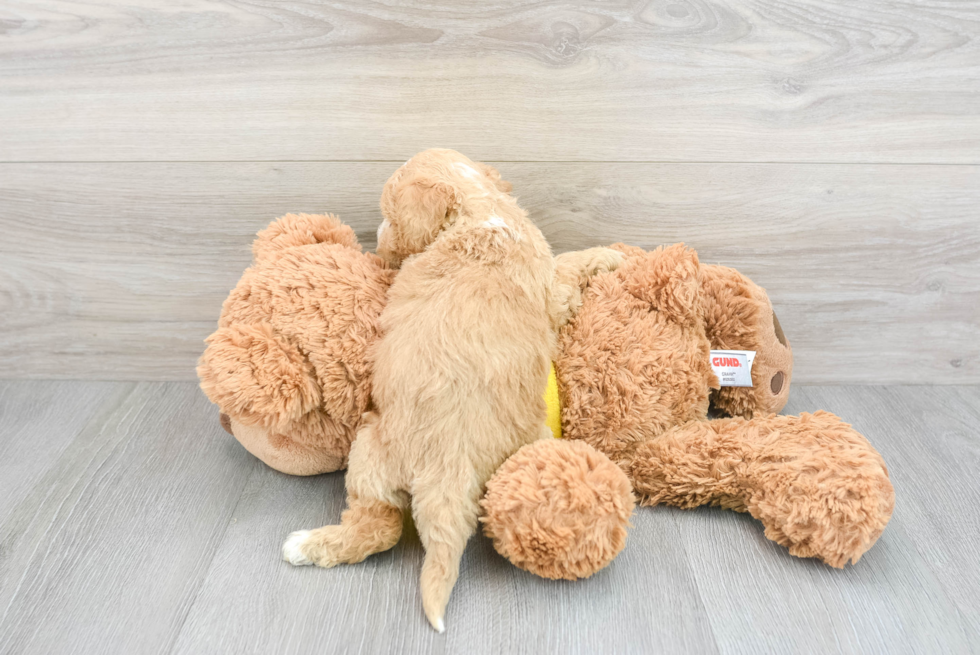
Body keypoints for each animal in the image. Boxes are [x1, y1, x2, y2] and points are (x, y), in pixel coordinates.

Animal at [282, 149, 620, 632]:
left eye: (389, 215)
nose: (377, 237)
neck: (479, 208)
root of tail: (451, 465)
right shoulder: (550, 285)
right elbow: (569, 265)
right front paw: (612, 254)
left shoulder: (552, 287)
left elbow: (572, 263)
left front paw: (609, 254)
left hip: (369, 450)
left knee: (378, 525)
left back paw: (304, 545)